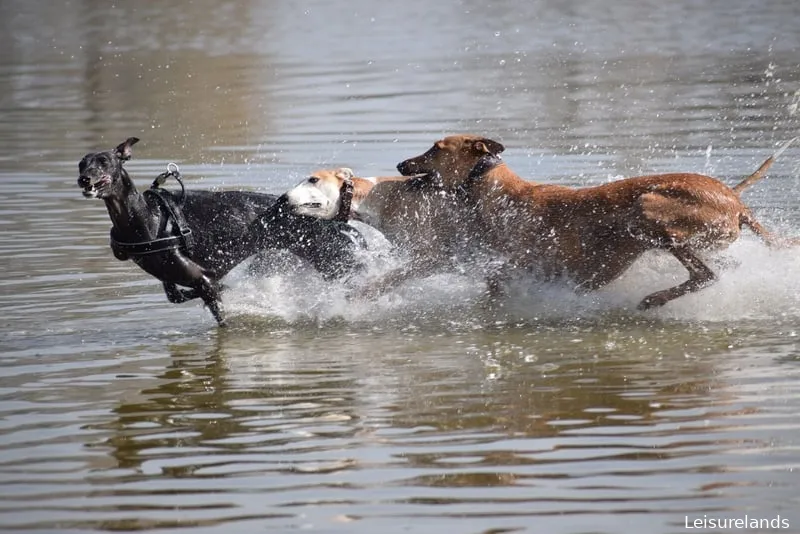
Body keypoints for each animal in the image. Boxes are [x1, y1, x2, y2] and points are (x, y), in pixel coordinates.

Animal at [78, 137, 366, 326]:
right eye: (81, 163)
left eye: (104, 161)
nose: (84, 179)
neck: (144, 217)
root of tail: (335, 220)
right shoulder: (178, 279)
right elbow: (179, 295)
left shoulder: (204, 282)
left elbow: (219, 306)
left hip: (336, 262)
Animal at [394, 134, 792, 310]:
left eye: (436, 148)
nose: (399, 164)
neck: (496, 192)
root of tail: (737, 203)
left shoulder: (512, 271)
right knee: (721, 268)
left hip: (647, 208)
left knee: (706, 274)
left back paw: (654, 299)